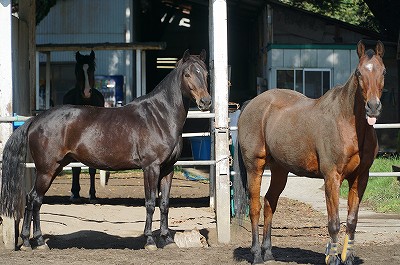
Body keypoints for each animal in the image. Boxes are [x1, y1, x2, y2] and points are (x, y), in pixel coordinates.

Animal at [61, 49, 104, 202]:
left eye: (92, 69)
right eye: (78, 70)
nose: (86, 91)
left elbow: (92, 168)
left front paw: (93, 195)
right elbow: (76, 168)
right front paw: (75, 193)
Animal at [233, 40, 386, 264]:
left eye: (383, 71)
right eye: (359, 72)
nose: (373, 107)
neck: (348, 123)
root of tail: (251, 103)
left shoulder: (360, 177)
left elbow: (351, 221)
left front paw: (347, 258)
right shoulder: (332, 177)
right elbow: (334, 222)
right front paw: (333, 258)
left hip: (280, 170)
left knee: (270, 202)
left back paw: (268, 252)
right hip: (255, 166)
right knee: (255, 208)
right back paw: (256, 254)